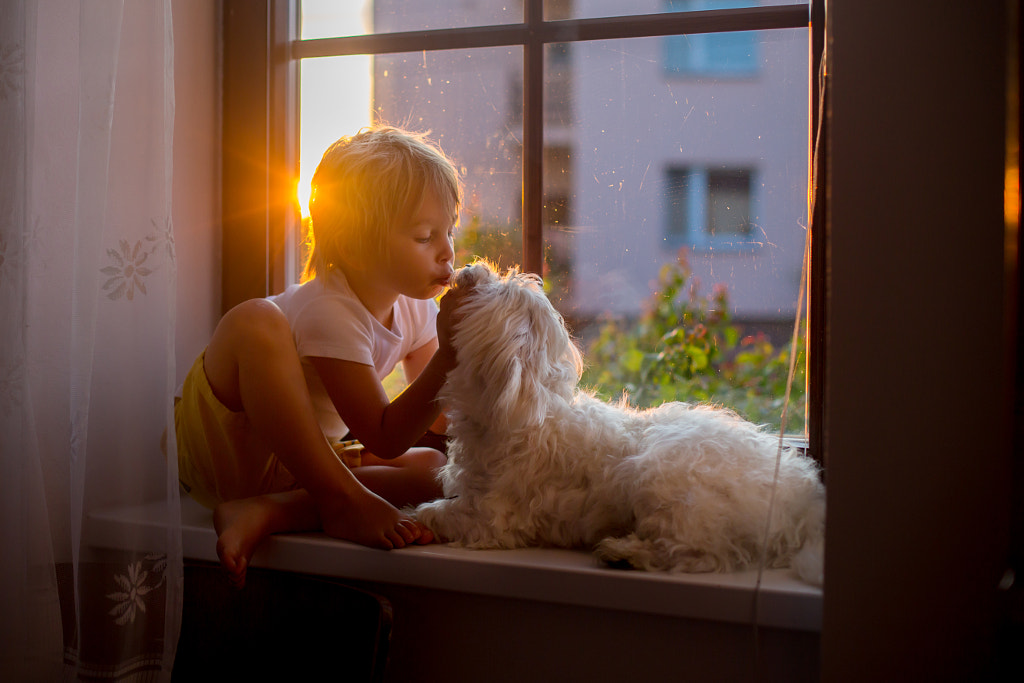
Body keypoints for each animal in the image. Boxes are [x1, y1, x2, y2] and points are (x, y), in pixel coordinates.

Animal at [413, 260, 823, 581]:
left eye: (495, 289)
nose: (470, 267)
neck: (521, 407)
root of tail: (799, 500)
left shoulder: (492, 516)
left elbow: (440, 513)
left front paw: (421, 518)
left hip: (665, 477)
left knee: (701, 554)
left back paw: (624, 553)